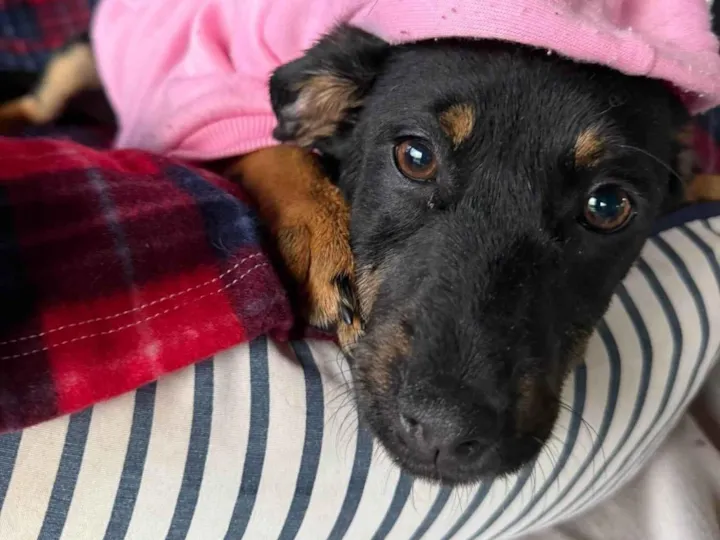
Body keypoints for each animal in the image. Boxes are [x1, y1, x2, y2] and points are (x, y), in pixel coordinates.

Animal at [1, 10, 719, 487]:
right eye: (414, 157)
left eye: (608, 206)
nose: (445, 434)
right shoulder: (204, 111)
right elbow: (275, 145)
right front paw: (323, 245)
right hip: (77, 61)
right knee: (40, 100)